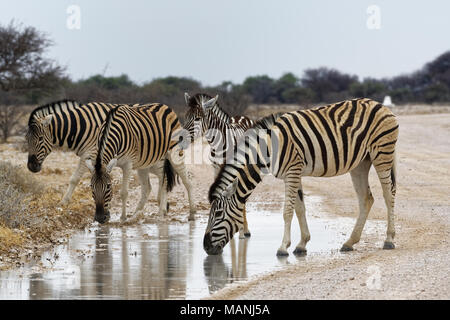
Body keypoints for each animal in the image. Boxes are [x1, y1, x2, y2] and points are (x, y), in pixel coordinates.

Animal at [25, 100, 195, 222]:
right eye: (26, 139)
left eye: (40, 139)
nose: (31, 166)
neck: (80, 126)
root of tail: (166, 107)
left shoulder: (90, 153)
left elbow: (74, 179)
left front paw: (63, 202)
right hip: (148, 161)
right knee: (155, 182)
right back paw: (149, 210)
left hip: (171, 154)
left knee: (179, 178)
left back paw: (184, 212)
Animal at [183, 92, 278, 238]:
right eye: (185, 116)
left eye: (198, 118)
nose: (181, 139)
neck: (218, 143)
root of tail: (242, 116)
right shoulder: (216, 169)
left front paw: (240, 229)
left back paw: (245, 229)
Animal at [204, 97, 398, 255]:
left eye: (218, 213)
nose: (206, 247)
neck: (269, 148)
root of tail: (380, 105)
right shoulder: (292, 174)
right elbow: (300, 208)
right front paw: (302, 244)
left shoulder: (292, 171)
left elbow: (287, 211)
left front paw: (283, 247)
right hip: (361, 163)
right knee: (366, 198)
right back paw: (350, 242)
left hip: (382, 153)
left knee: (388, 194)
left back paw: (389, 239)